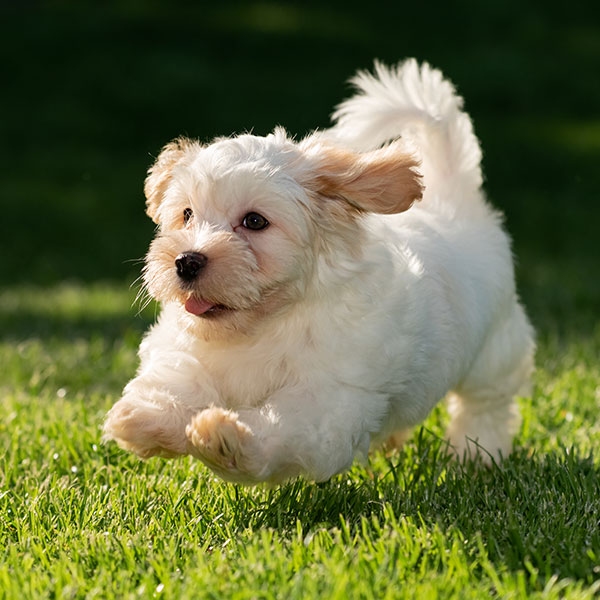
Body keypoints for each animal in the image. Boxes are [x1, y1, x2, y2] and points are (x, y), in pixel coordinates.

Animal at [102, 59, 536, 482]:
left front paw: (228, 440)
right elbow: (179, 375)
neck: (265, 326)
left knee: (487, 405)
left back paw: (476, 454)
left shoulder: (325, 399)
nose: (186, 261)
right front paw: (146, 419)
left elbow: (282, 426)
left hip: (495, 350)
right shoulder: (188, 345)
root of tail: (456, 201)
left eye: (255, 222)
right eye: (187, 215)